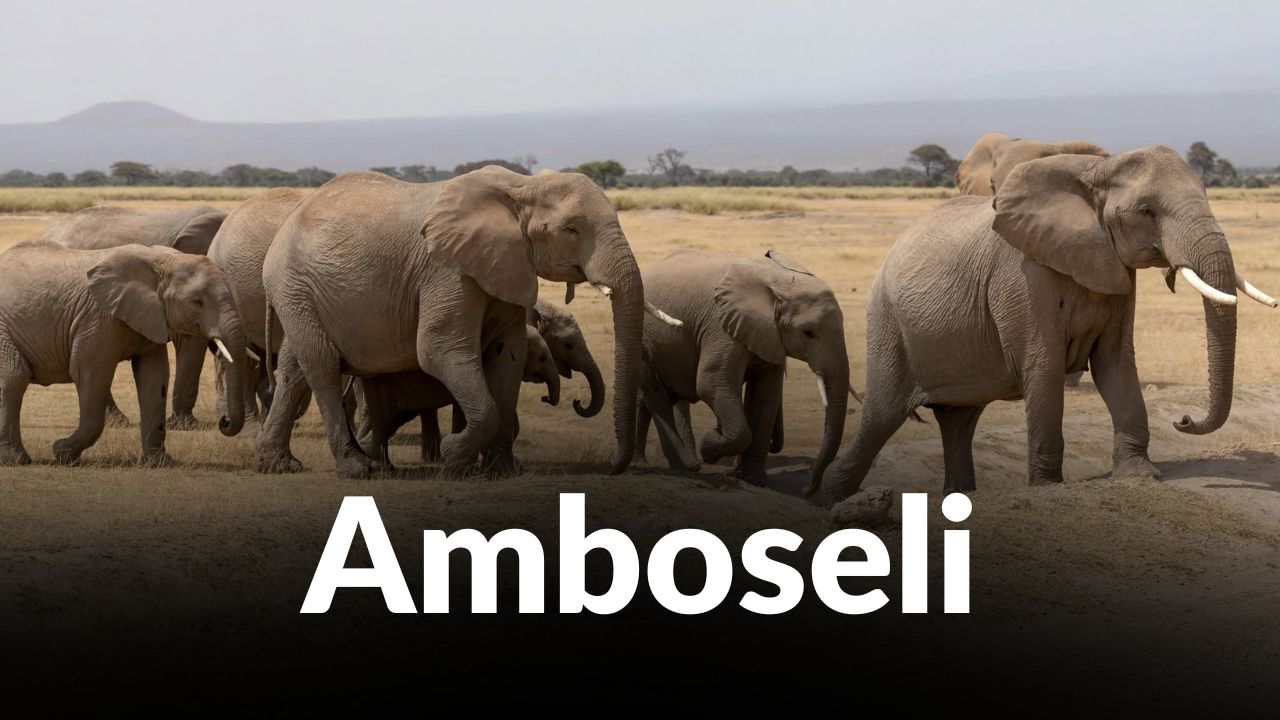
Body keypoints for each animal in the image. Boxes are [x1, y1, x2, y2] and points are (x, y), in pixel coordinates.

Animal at [0, 242, 248, 466]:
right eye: (197, 302)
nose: (224, 420)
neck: (162, 260)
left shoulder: (150, 318)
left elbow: (154, 377)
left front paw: (159, 463)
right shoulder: (98, 318)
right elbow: (88, 372)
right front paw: (62, 453)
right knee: (13, 377)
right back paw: (17, 460)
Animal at [637, 250, 849, 488]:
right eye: (808, 333)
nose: (809, 488)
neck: (779, 283)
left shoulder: (769, 336)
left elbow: (765, 395)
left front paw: (753, 480)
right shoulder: (721, 327)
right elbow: (710, 384)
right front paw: (709, 446)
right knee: (659, 396)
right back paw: (685, 466)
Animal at [823, 145, 1277, 502]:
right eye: (1147, 211)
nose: (1183, 420)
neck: (1098, 169)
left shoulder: (1115, 271)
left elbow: (1115, 365)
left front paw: (1140, 475)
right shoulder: (1022, 276)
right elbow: (1043, 365)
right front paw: (1047, 486)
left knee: (958, 422)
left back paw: (961, 495)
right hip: (888, 324)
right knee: (882, 417)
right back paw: (828, 497)